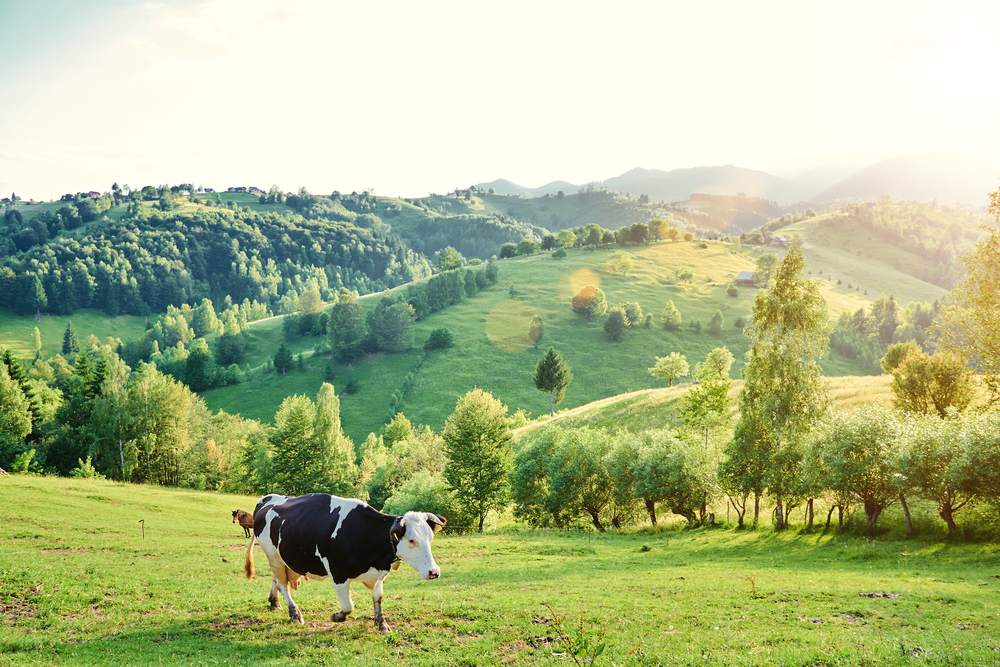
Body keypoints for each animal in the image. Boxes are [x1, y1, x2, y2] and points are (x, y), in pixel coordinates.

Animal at [242, 494, 446, 636]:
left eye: (430, 537)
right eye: (411, 540)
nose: (434, 572)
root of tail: (267, 499)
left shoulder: (378, 573)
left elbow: (378, 598)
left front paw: (382, 624)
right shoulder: (338, 574)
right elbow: (348, 606)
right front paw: (337, 616)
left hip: (282, 558)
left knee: (276, 580)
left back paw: (274, 602)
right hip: (274, 556)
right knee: (283, 585)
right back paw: (295, 614)